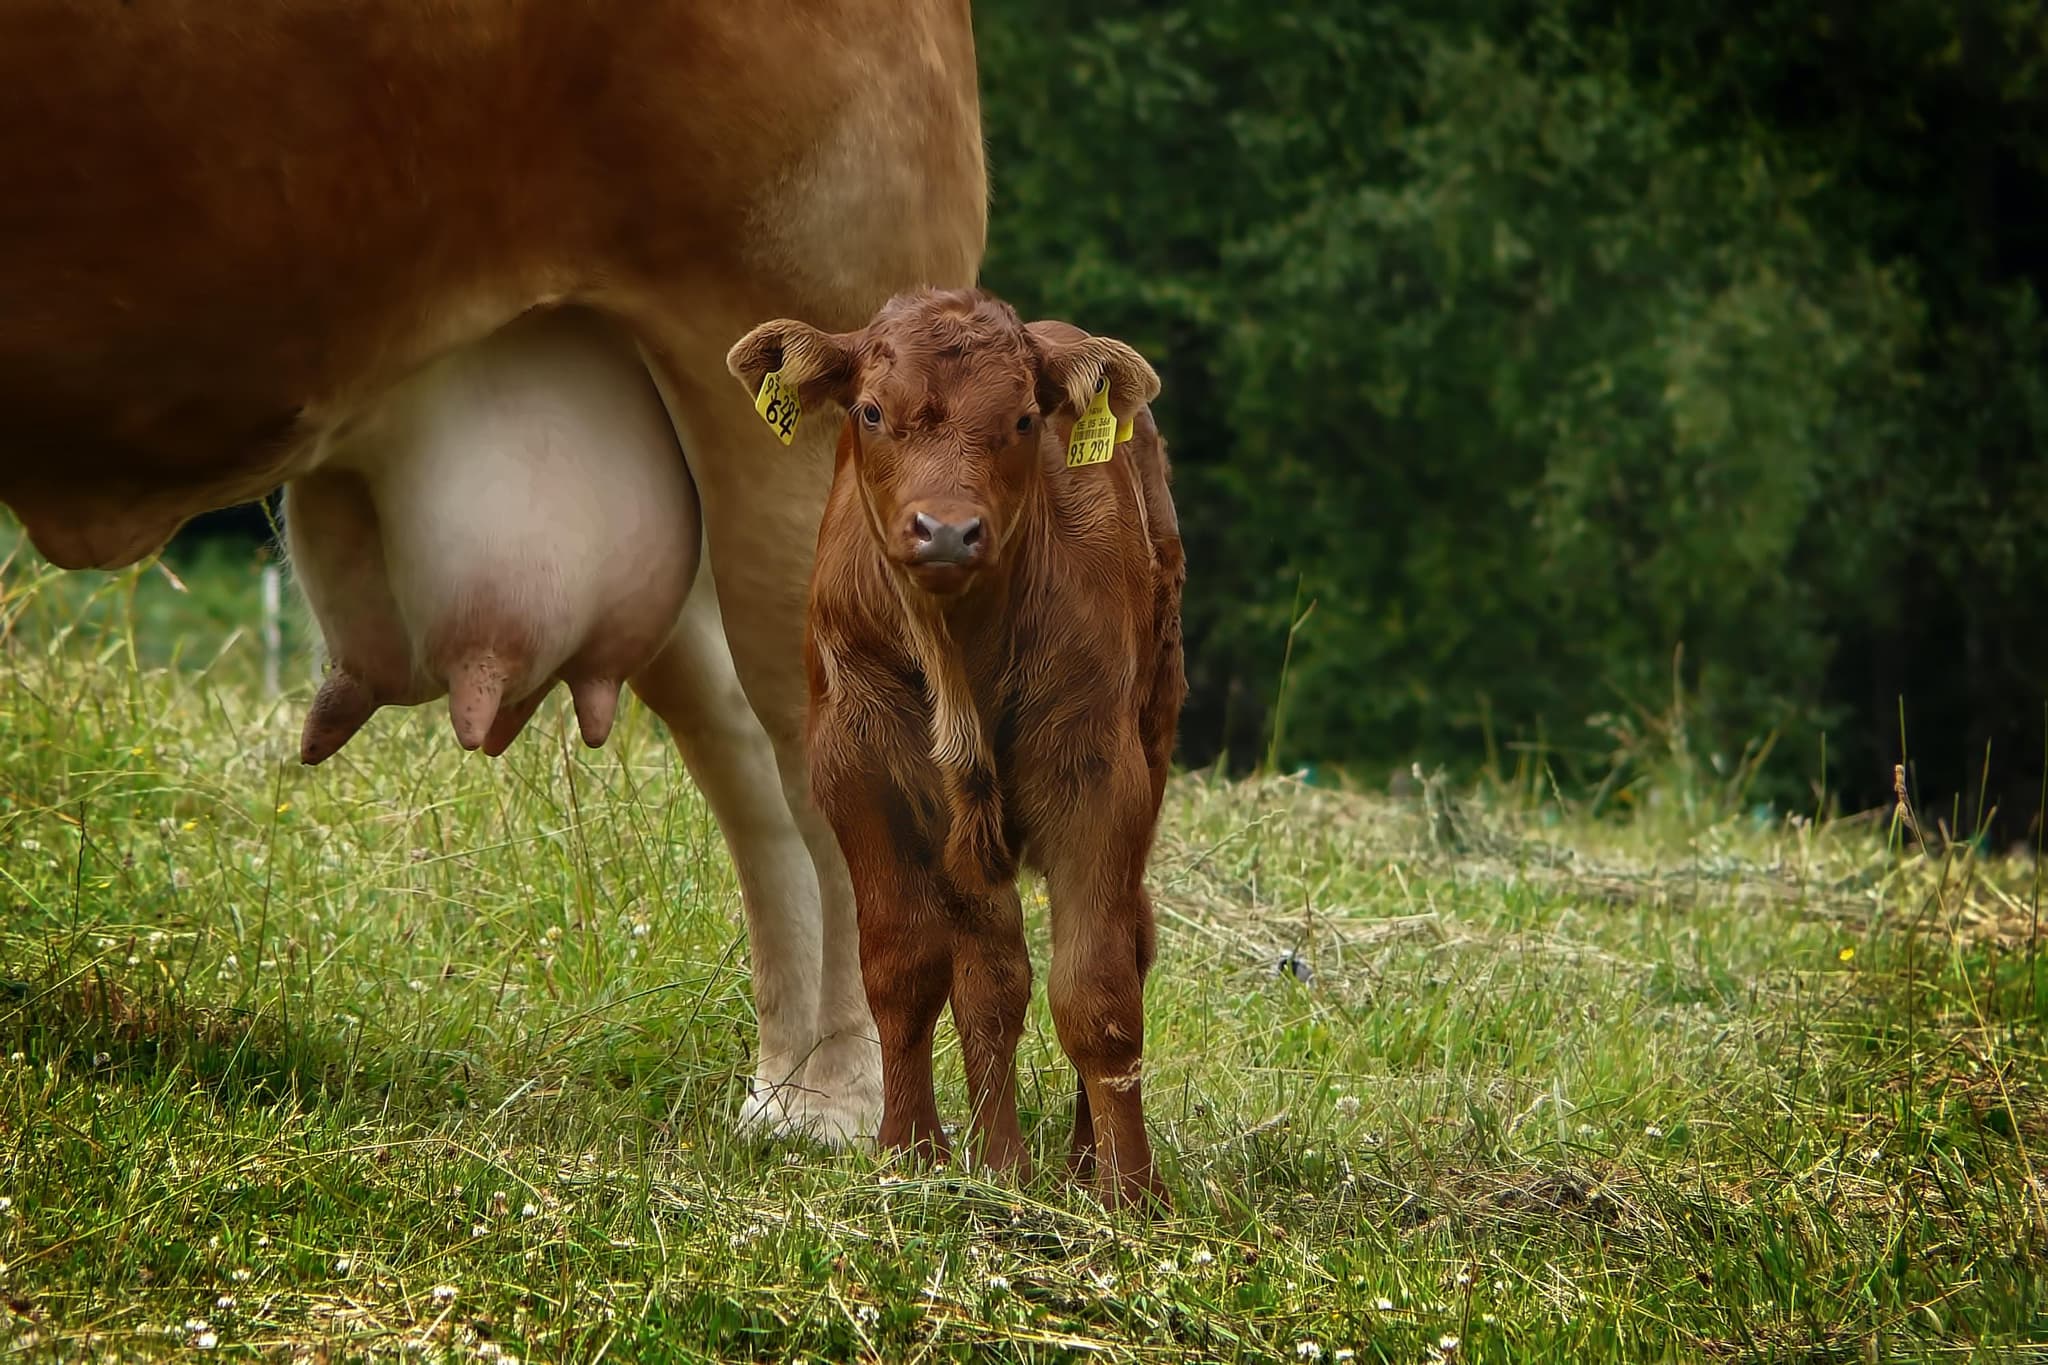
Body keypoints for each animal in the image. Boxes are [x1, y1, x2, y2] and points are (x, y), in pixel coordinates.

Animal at [727, 288, 1187, 1206]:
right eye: (872, 411)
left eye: (1021, 419)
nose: (945, 531)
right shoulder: (857, 770)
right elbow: (907, 968)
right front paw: (912, 1150)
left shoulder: (1098, 775)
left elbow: (1098, 989)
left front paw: (1129, 1190)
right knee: (992, 973)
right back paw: (998, 1158)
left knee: (1125, 939)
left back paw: (1078, 1160)